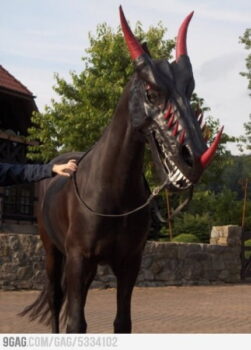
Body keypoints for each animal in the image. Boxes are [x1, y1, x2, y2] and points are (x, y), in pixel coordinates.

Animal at [21, 6, 222, 332]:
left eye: (190, 90)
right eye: (151, 92)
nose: (193, 160)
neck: (112, 192)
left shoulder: (130, 262)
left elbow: (122, 321)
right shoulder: (77, 258)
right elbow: (75, 323)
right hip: (52, 251)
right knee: (54, 298)